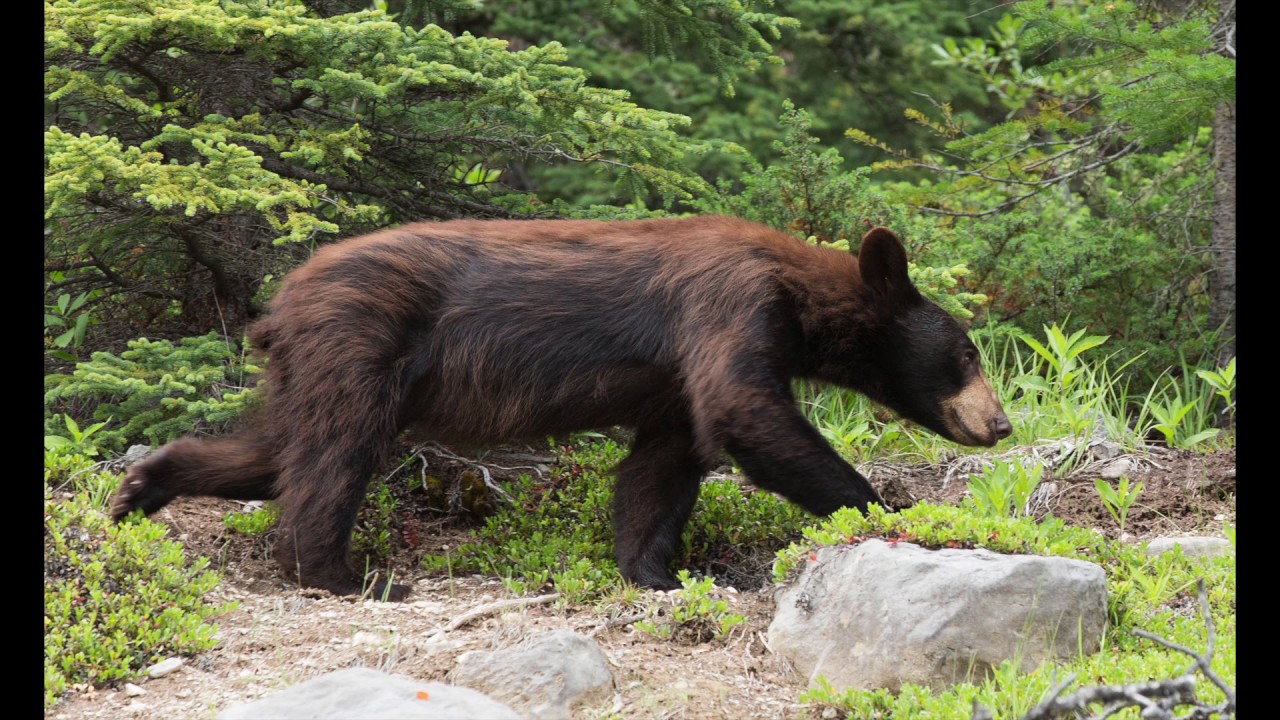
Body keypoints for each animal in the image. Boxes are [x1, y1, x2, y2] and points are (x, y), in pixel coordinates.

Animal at [111, 216, 1012, 600]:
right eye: (968, 354)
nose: (1001, 423)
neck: (798, 295)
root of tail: (280, 302)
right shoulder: (729, 306)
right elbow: (745, 412)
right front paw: (894, 514)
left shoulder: (673, 376)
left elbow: (664, 462)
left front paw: (656, 571)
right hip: (359, 342)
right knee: (333, 457)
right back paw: (345, 575)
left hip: (310, 368)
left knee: (277, 454)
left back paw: (139, 489)